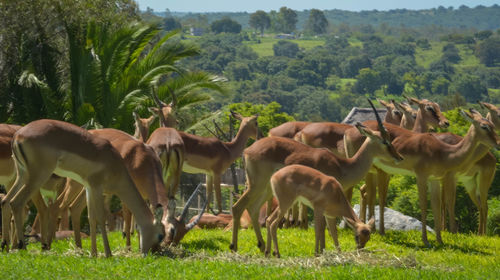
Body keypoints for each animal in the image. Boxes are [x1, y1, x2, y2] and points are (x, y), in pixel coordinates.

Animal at [0, 119, 164, 258]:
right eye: (161, 235)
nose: (153, 253)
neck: (115, 164)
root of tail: (18, 135)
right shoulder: (97, 187)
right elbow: (100, 217)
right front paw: (108, 253)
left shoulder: (89, 187)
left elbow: (91, 218)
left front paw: (94, 254)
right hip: (38, 176)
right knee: (17, 203)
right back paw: (23, 247)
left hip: (22, 175)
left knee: (6, 201)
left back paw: (7, 246)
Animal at [229, 111, 402, 252]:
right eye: (385, 141)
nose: (399, 157)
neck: (343, 166)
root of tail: (248, 150)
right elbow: (324, 226)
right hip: (257, 185)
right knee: (238, 207)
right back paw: (234, 247)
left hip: (266, 189)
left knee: (253, 209)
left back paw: (262, 246)